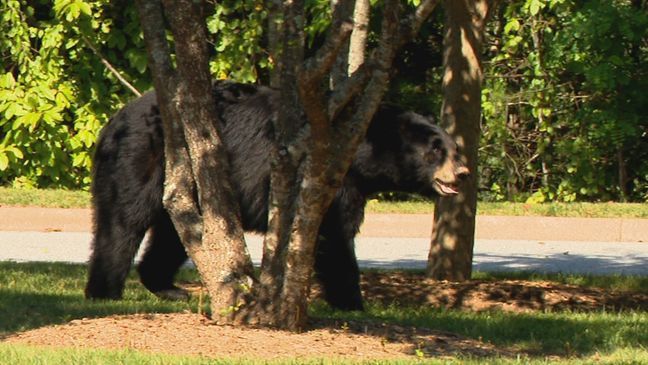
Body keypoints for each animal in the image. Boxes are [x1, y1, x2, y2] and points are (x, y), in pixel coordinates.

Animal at [86, 81, 470, 308]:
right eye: (435, 151)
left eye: (454, 149)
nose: (462, 173)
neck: (360, 150)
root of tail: (113, 121)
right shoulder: (322, 176)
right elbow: (333, 235)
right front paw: (352, 302)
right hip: (140, 157)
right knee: (123, 221)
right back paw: (105, 290)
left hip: (185, 183)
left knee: (174, 233)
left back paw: (167, 287)